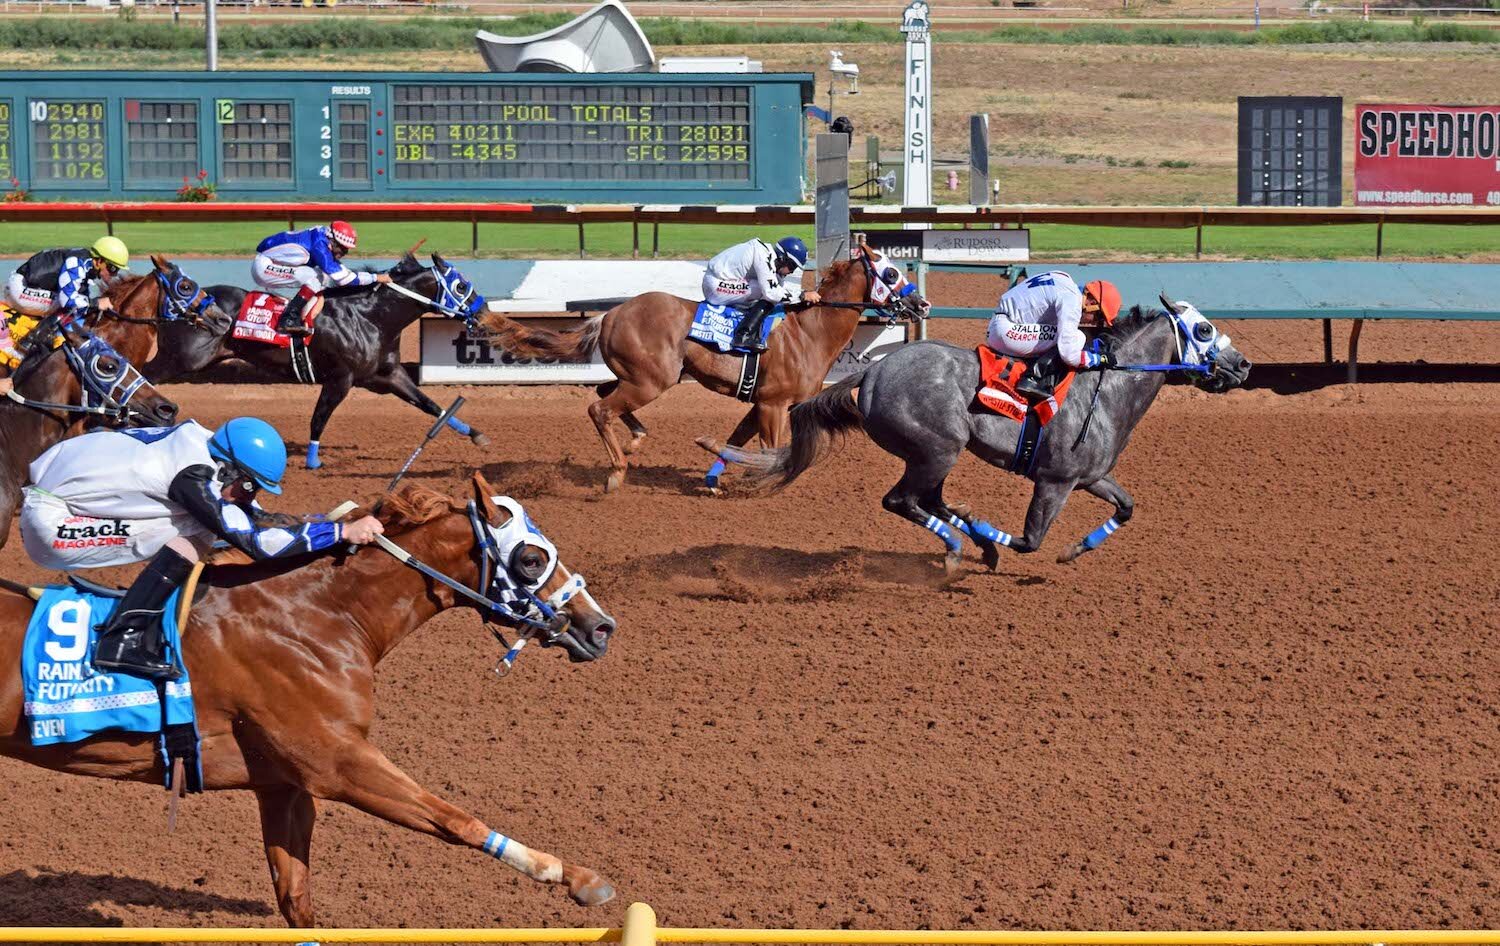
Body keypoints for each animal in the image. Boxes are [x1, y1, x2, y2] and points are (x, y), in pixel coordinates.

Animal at [0, 476, 618, 929]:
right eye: (532, 558)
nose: (599, 627)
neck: (321, 615)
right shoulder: (336, 763)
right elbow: (454, 818)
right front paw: (573, 875)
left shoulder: (284, 785)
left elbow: (295, 895)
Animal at [486, 244, 924, 494]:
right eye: (890, 272)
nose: (921, 304)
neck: (808, 332)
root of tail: (609, 314)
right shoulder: (774, 404)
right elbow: (771, 449)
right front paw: (765, 481)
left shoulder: (760, 402)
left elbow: (736, 442)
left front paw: (714, 481)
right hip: (651, 381)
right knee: (599, 409)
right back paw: (616, 471)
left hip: (638, 376)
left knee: (602, 395)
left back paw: (635, 440)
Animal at [702, 299, 1254, 572]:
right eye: (1204, 330)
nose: (1244, 365)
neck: (1108, 386)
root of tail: (872, 371)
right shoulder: (1054, 481)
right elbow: (1030, 541)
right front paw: (993, 534)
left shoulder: (1091, 476)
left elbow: (1126, 507)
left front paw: (1074, 550)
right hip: (936, 449)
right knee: (901, 501)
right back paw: (959, 547)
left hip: (933, 455)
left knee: (928, 501)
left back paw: (970, 538)